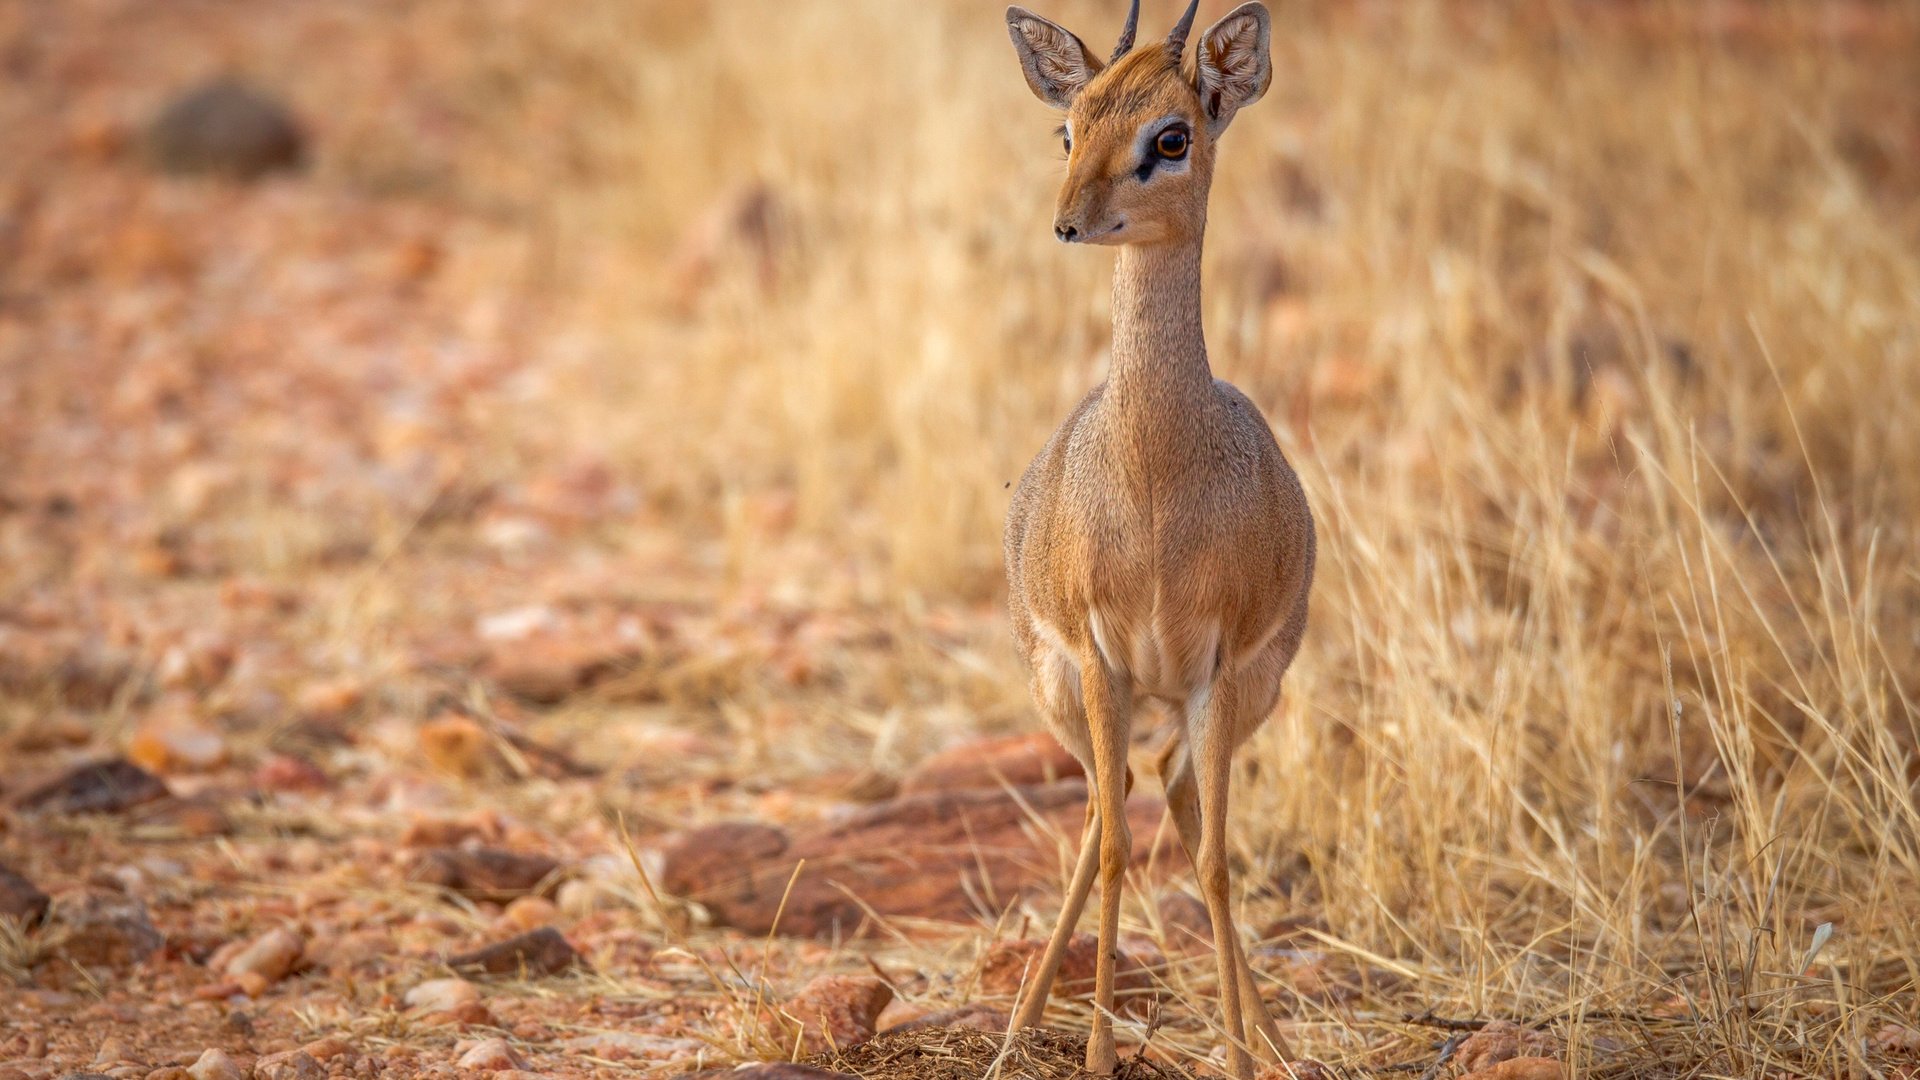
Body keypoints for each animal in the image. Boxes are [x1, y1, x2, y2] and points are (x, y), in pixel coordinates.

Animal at [998, 4, 1313, 1068]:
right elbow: (1118, 848)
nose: (1066, 221)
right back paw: (1019, 1028)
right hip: (1071, 688)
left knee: (1168, 791)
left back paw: (1267, 1036)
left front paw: (1247, 1056)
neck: (1155, 483)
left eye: (1171, 137)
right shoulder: (1102, 658)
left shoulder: (1216, 666)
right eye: (1068, 127)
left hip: (1234, 695)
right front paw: (1096, 1055)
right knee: (1109, 808)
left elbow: (1213, 863)